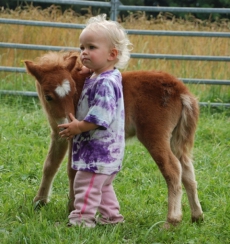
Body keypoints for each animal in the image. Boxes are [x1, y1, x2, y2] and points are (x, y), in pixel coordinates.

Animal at [23, 51, 203, 227]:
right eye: (48, 96)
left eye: (74, 92)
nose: (68, 123)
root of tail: (181, 91)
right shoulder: (58, 133)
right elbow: (50, 166)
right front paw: (39, 202)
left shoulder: (73, 135)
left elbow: (71, 170)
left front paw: (71, 206)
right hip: (176, 139)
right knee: (187, 170)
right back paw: (197, 216)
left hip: (154, 136)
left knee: (173, 169)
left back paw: (172, 220)